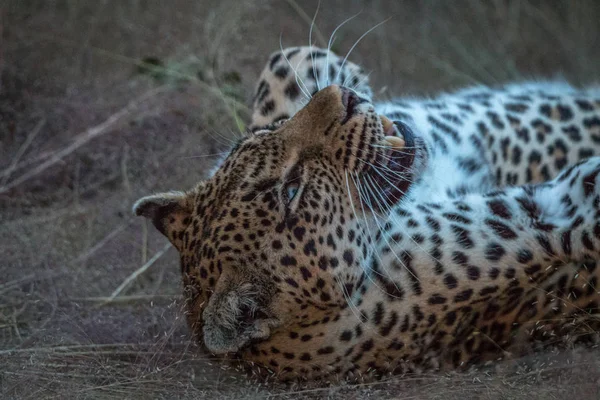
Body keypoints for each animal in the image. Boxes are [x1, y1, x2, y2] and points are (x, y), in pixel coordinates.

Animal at [134, 46, 600, 382]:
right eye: (291, 190)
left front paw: (339, 77)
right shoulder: (543, 217)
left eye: (260, 141)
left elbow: (283, 61)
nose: (347, 99)